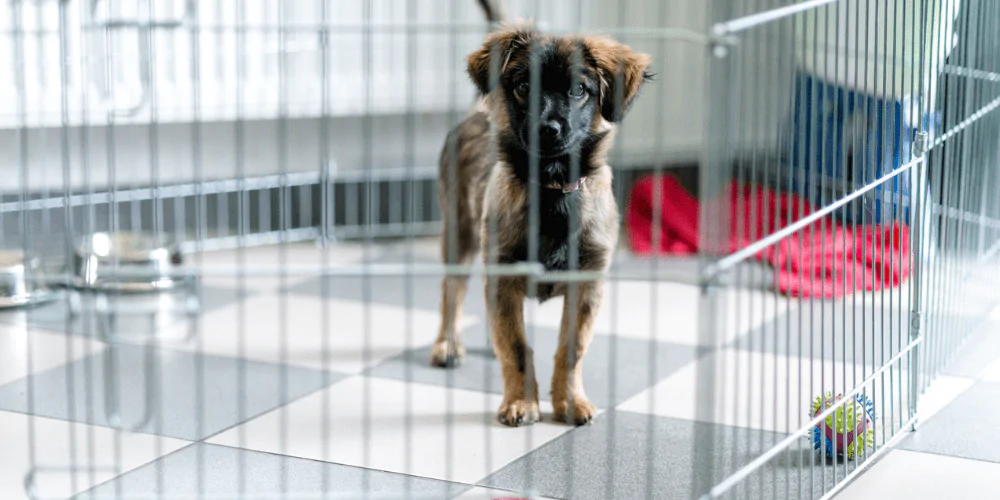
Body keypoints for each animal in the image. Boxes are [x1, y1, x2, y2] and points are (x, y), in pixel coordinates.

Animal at [432, 14, 652, 426]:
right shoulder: (502, 275)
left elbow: (572, 348)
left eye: (579, 90)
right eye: (522, 87)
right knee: (452, 290)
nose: (547, 129)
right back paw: (447, 345)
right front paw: (521, 403)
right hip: (459, 230)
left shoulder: (587, 284)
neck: (552, 188)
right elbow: (517, 347)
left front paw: (570, 401)